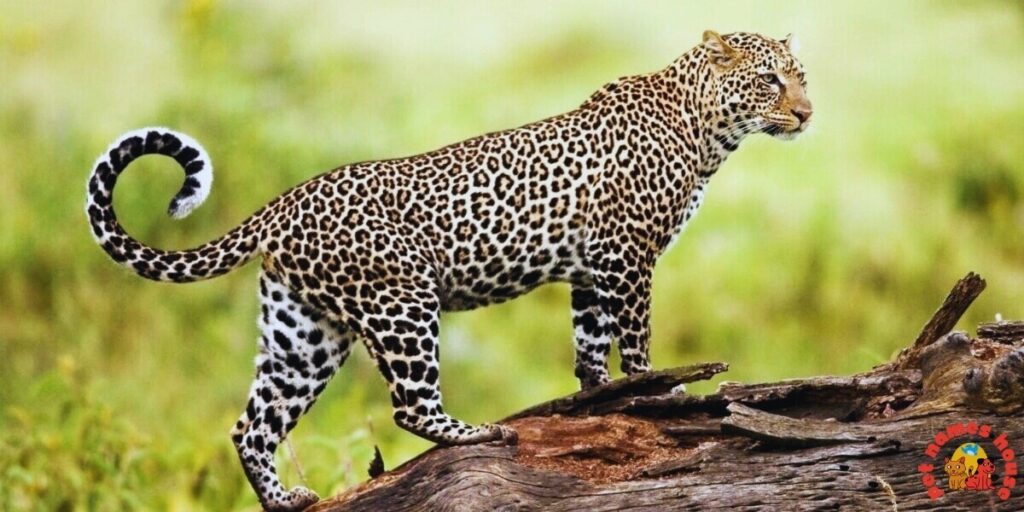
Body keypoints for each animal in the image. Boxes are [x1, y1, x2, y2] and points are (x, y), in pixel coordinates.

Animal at [85, 30, 811, 511]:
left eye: (802, 76)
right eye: (770, 80)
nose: (806, 113)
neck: (708, 130)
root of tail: (284, 203)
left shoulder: (590, 267)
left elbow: (588, 343)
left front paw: (598, 398)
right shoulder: (627, 254)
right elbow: (634, 339)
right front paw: (665, 393)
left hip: (304, 334)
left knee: (252, 425)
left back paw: (285, 499)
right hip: (402, 302)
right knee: (409, 405)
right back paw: (475, 432)